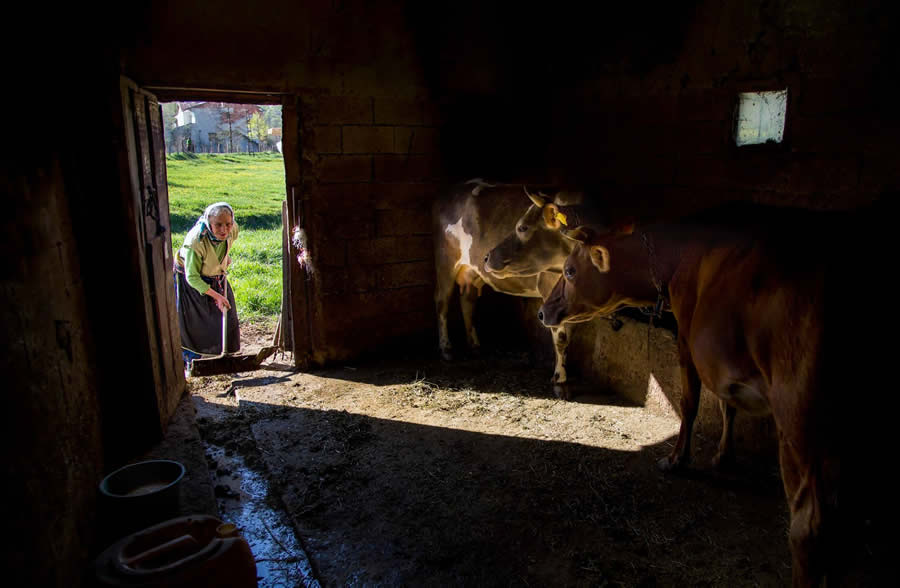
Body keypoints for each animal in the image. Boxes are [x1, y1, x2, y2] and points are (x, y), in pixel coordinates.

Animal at [536, 204, 836, 584]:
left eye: (570, 270)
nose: (542, 311)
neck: (678, 254)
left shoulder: (686, 339)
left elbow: (691, 402)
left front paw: (677, 458)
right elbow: (727, 405)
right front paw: (724, 454)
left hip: (800, 416)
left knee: (808, 529)